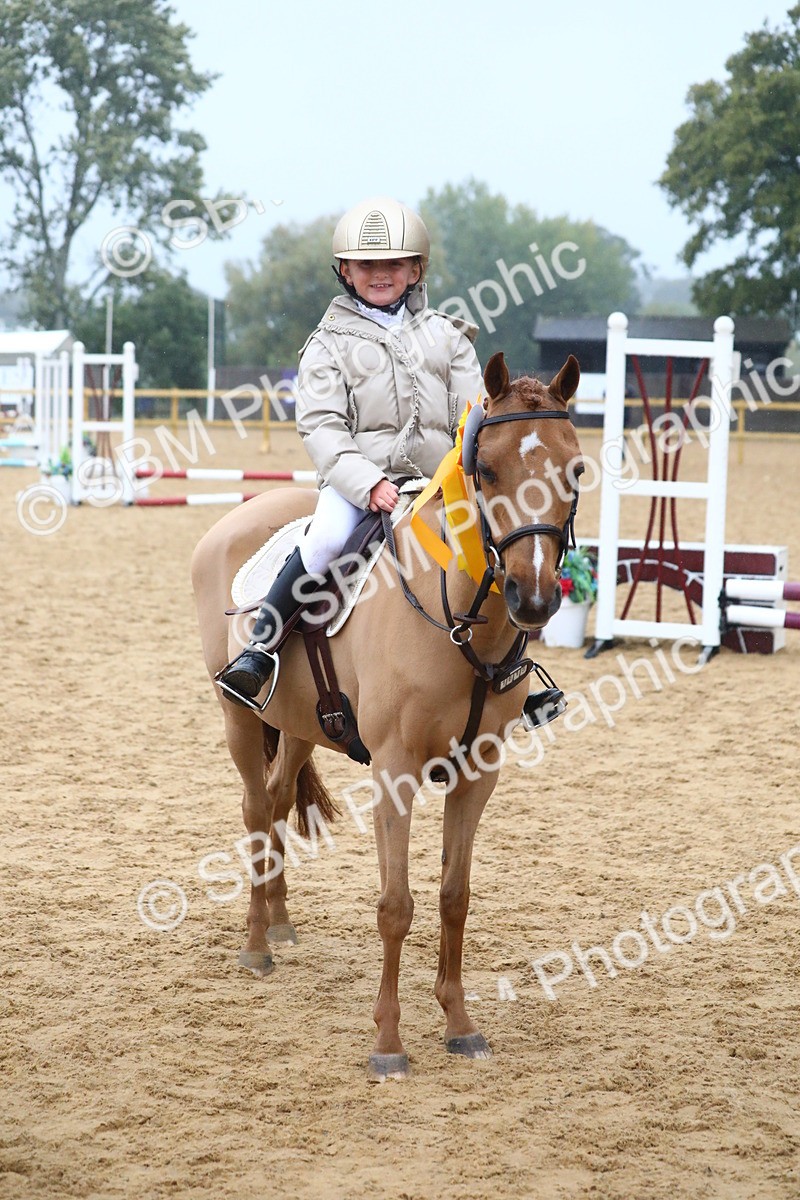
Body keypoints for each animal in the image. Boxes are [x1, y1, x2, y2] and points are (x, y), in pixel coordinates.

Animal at [191, 351, 584, 1081]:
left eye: (574, 470)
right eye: (488, 470)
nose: (535, 598)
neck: (455, 615)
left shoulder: (478, 772)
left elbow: (455, 896)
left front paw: (460, 1025)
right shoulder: (395, 772)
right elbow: (396, 905)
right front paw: (388, 1043)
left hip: (299, 725)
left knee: (280, 797)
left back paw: (280, 921)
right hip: (238, 718)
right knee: (256, 811)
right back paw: (257, 946)